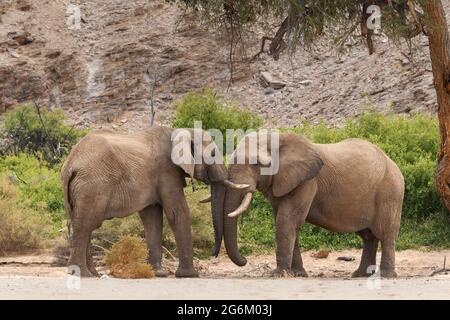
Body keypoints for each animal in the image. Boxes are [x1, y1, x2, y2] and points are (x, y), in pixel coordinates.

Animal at [60, 126, 246, 276]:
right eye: (213, 154)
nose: (213, 255)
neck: (182, 131)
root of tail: (70, 164)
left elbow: (153, 218)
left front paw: (158, 274)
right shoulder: (167, 171)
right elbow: (177, 212)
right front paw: (189, 275)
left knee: (83, 224)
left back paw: (93, 274)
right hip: (92, 186)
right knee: (86, 224)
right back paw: (81, 274)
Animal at [213, 131, 406, 278]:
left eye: (256, 164)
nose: (245, 260)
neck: (279, 139)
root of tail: (393, 163)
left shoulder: (307, 181)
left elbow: (287, 220)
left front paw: (278, 274)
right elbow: (288, 222)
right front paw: (298, 274)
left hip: (390, 193)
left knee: (385, 234)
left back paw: (386, 276)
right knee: (368, 236)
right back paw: (361, 275)